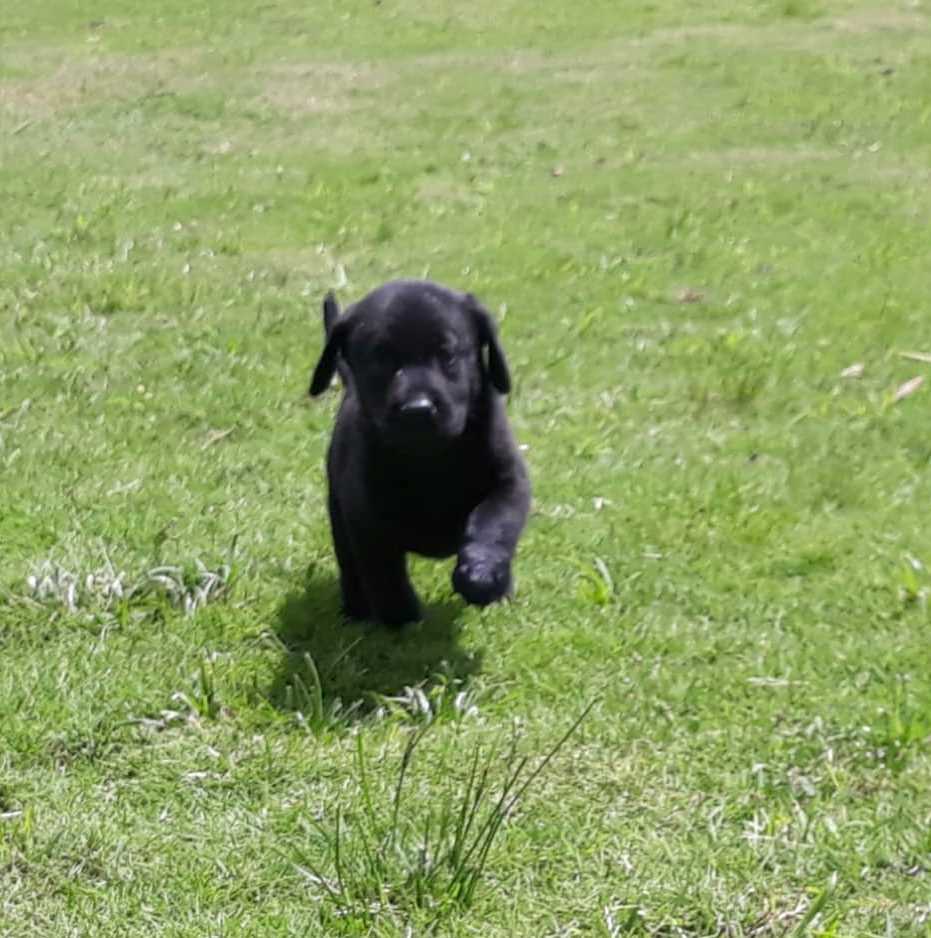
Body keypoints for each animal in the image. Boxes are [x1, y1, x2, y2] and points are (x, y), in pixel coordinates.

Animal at [310, 282, 532, 624]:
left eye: (448, 355)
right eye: (380, 358)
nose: (418, 409)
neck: (430, 459)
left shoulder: (509, 482)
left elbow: (493, 523)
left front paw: (482, 575)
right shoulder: (365, 512)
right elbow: (383, 573)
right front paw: (401, 618)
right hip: (338, 514)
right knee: (351, 568)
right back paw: (356, 609)